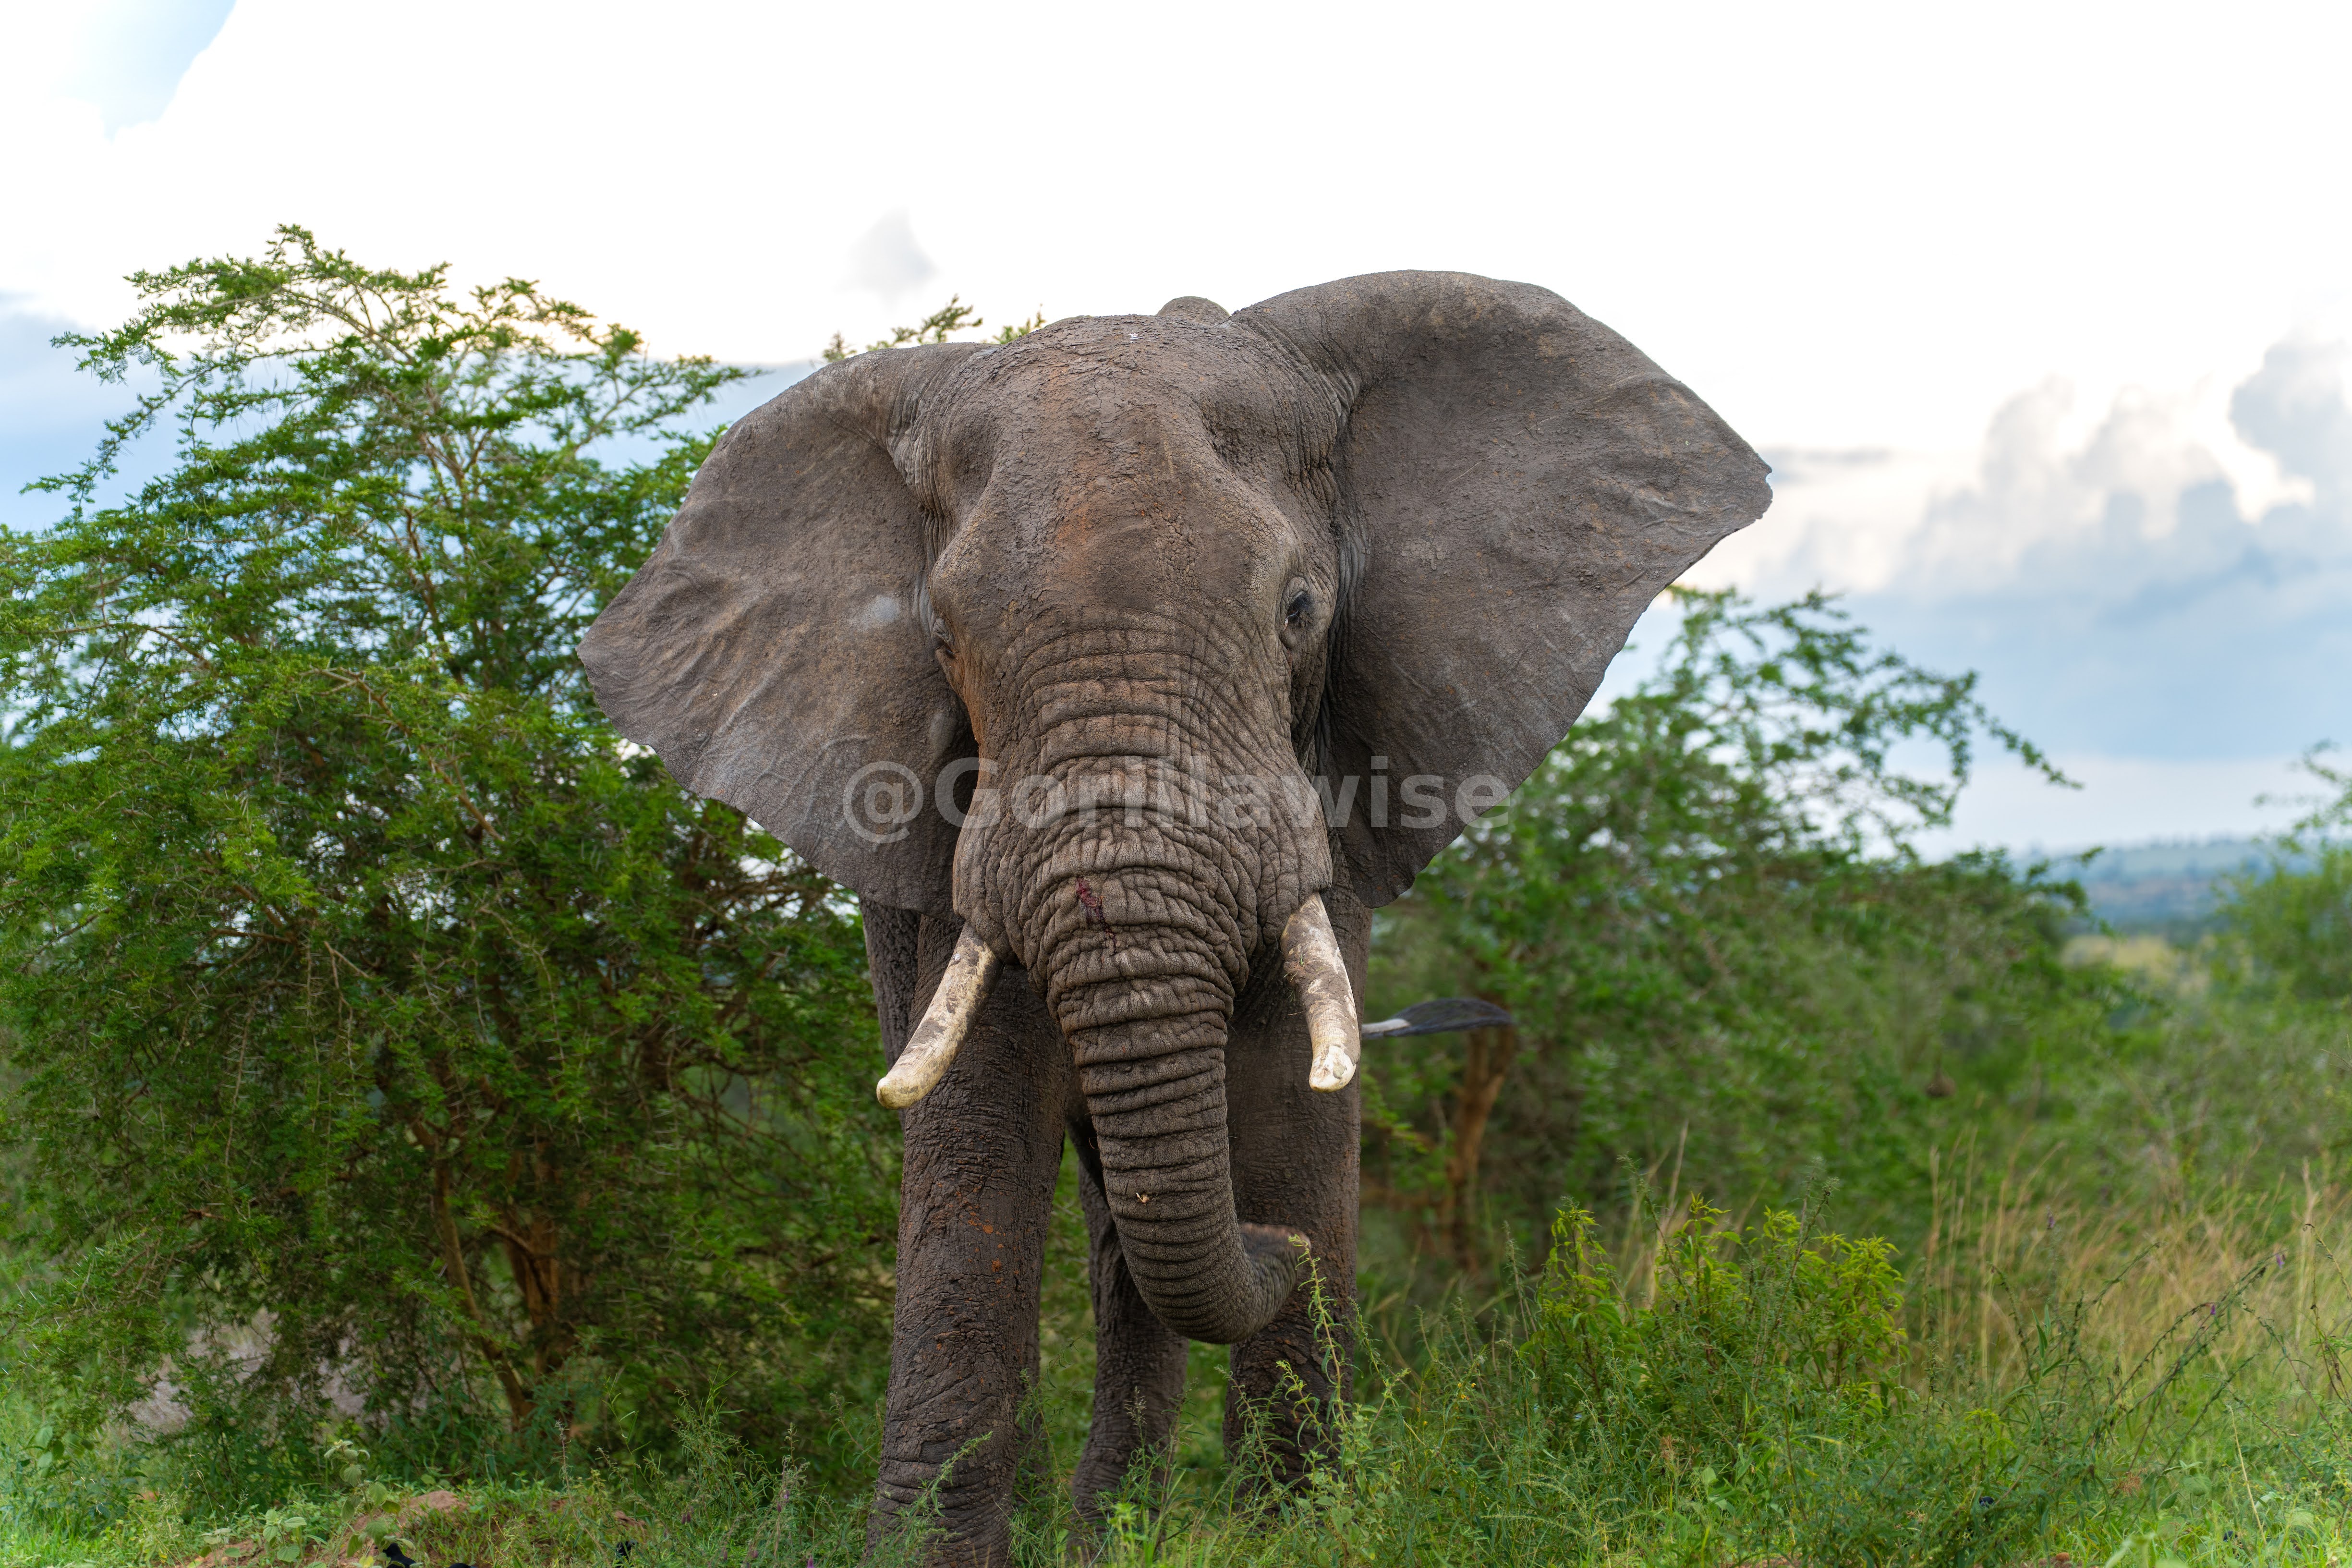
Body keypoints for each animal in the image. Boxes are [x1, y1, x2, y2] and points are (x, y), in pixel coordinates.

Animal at [577, 271, 1770, 1562]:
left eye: (1299, 609)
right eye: (940, 642)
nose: (1278, 1251)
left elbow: (1287, 1089)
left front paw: (1295, 1531)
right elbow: (975, 1121)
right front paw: (927, 1553)